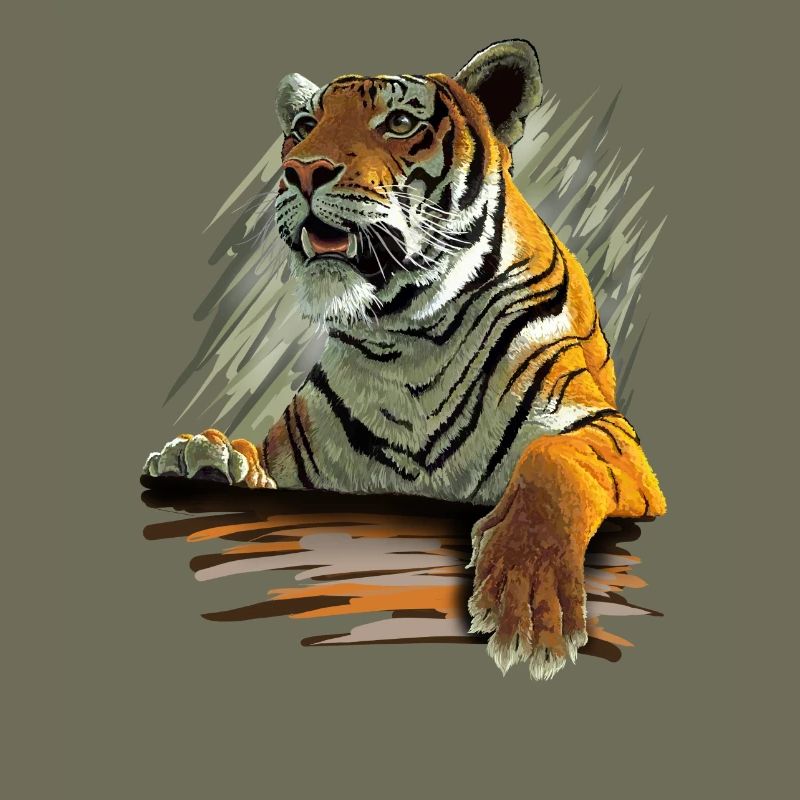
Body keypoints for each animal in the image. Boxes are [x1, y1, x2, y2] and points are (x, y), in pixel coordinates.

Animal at [143, 39, 666, 680]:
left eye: (398, 123)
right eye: (304, 126)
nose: (303, 170)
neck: (406, 340)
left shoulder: (604, 432)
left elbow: (554, 465)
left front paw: (527, 608)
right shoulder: (297, 469)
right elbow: (253, 461)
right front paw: (201, 457)